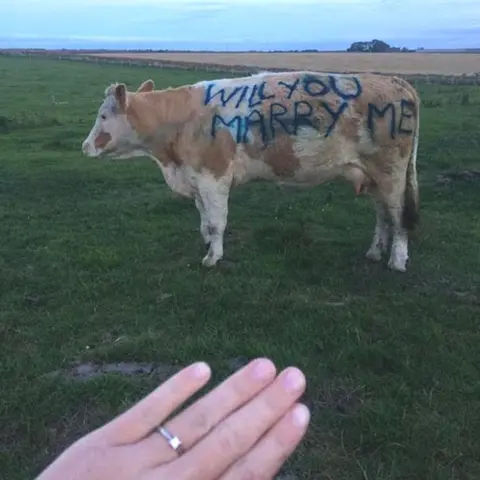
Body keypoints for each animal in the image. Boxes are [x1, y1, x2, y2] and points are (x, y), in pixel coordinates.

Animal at [81, 71, 420, 274]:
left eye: (103, 115)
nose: (85, 146)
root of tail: (396, 81)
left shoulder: (213, 177)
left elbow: (216, 222)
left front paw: (213, 257)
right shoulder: (196, 179)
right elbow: (204, 221)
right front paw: (208, 244)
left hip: (392, 172)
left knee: (398, 215)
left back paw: (397, 260)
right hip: (372, 175)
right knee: (382, 215)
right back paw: (374, 252)